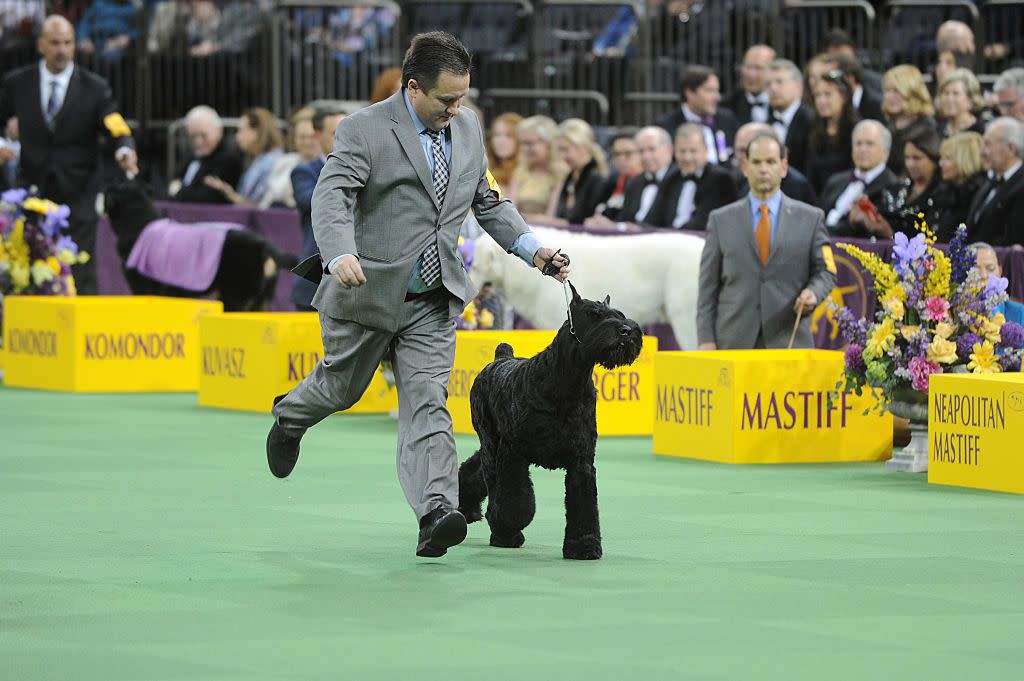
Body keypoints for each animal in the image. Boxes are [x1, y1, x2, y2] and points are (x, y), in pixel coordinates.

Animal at [460, 280, 643, 557]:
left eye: (620, 314)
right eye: (594, 314)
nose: (627, 331)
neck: (565, 381)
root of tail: (500, 358)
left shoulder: (581, 461)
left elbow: (584, 504)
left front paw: (584, 545)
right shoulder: (513, 453)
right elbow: (514, 499)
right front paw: (509, 526)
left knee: (475, 470)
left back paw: (468, 509)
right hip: (492, 443)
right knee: (490, 479)